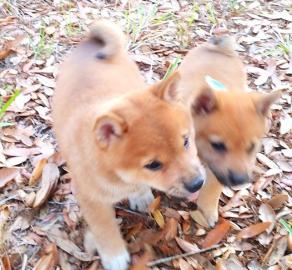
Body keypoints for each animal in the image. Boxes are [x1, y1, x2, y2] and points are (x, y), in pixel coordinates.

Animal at [52, 21, 205, 270]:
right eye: (153, 165)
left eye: (185, 141)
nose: (197, 183)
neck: (119, 177)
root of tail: (88, 44)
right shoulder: (92, 201)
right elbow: (105, 230)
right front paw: (114, 256)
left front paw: (140, 195)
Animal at [179, 37, 282, 227]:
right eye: (217, 145)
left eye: (251, 147)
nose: (240, 181)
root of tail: (220, 48)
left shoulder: (216, 172)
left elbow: (212, 186)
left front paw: (207, 209)